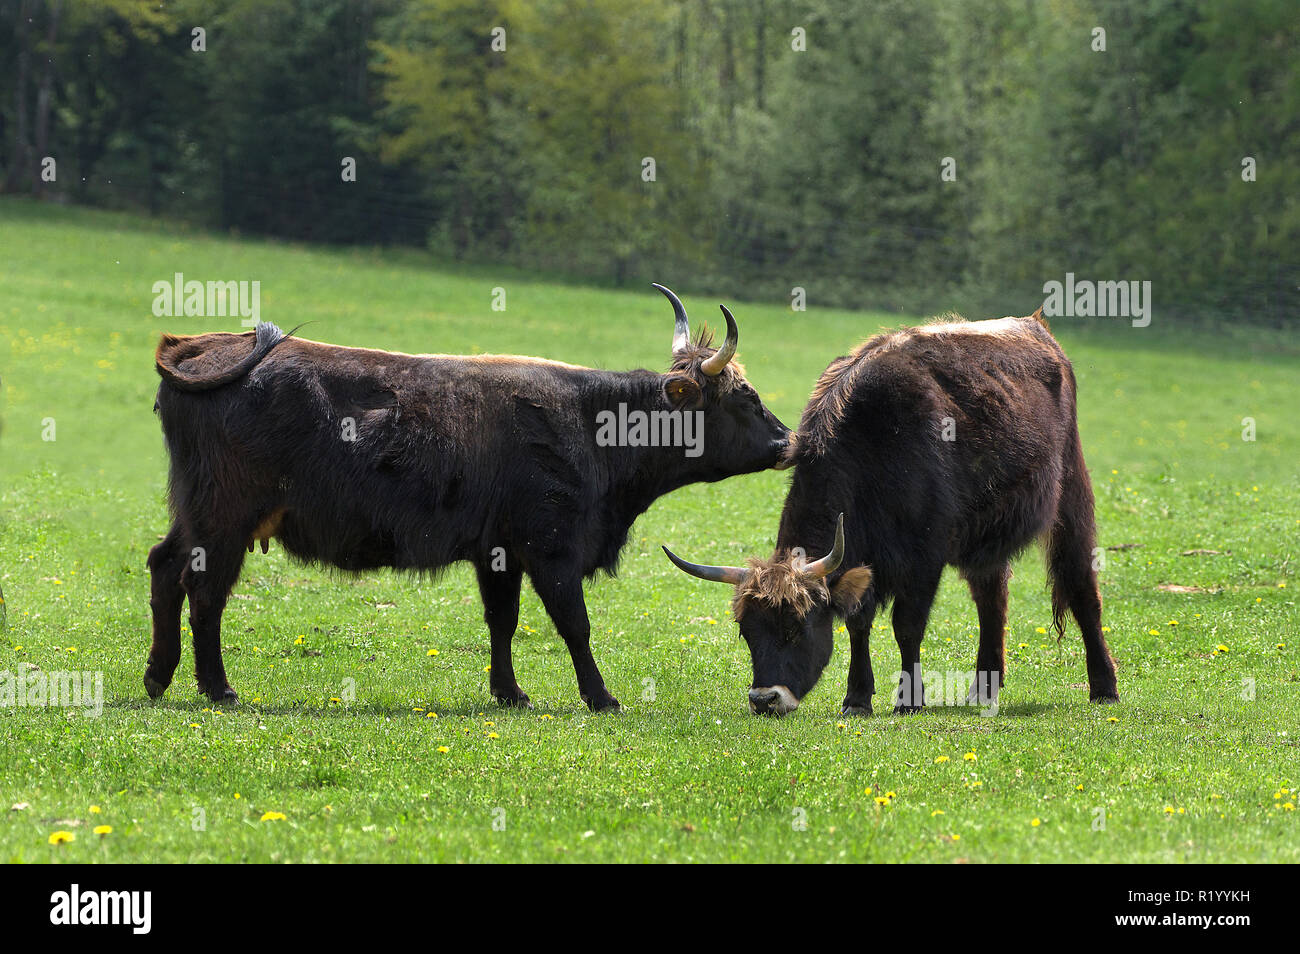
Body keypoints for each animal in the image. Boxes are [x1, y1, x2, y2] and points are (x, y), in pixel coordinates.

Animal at [146, 287, 785, 712]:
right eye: (746, 398)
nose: (789, 441)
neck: (589, 422)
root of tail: (204, 346)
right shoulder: (552, 550)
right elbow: (574, 625)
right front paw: (602, 697)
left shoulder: (498, 554)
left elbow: (502, 621)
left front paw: (510, 692)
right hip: (224, 519)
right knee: (204, 592)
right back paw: (218, 688)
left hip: (198, 515)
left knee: (164, 568)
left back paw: (159, 676)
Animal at [665, 311, 1123, 717]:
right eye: (747, 631)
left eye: (797, 626)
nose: (764, 700)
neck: (873, 445)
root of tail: (1036, 329)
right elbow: (858, 624)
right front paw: (857, 698)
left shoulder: (925, 558)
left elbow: (907, 625)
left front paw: (908, 700)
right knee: (992, 598)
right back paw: (983, 690)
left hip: (1072, 496)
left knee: (1081, 588)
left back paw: (1104, 688)